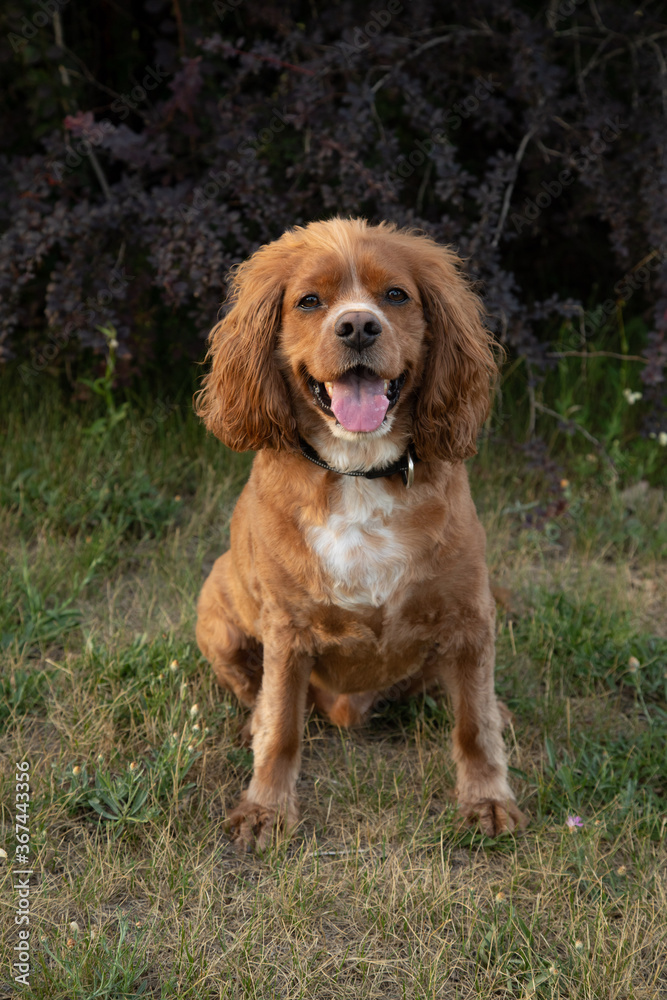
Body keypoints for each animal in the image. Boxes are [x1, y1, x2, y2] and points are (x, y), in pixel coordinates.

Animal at [193, 215, 528, 848]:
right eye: (308, 301)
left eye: (395, 295)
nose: (357, 326)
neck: (359, 469)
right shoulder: (287, 629)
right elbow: (282, 726)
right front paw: (265, 809)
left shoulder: (471, 616)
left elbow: (472, 723)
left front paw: (488, 801)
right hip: (215, 609)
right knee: (258, 693)